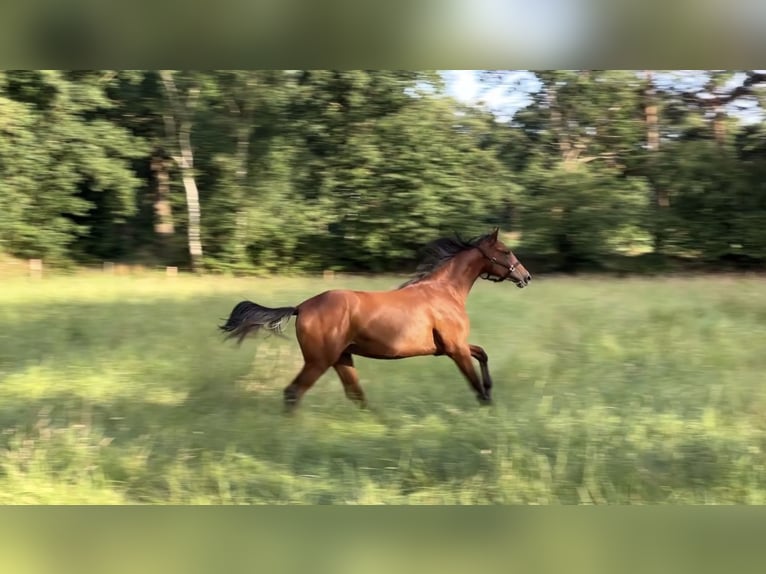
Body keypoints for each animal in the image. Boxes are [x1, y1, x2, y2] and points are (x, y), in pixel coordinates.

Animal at [219, 228, 531, 411]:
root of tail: (301, 307)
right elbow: (473, 379)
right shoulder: (455, 348)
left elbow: (483, 355)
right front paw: (486, 404)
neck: (444, 291)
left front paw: (490, 393)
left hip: (342, 358)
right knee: (293, 392)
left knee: (356, 395)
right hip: (319, 361)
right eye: (505, 251)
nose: (525, 276)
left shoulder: (452, 347)